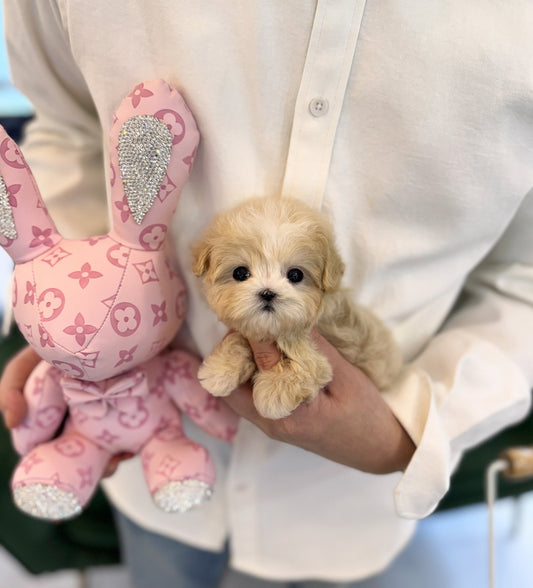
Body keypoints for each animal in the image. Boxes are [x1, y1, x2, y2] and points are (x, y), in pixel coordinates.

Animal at [193, 196, 402, 418]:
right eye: (240, 273)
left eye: (295, 275)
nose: (267, 293)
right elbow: (238, 339)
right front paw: (220, 368)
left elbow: (305, 361)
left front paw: (275, 391)